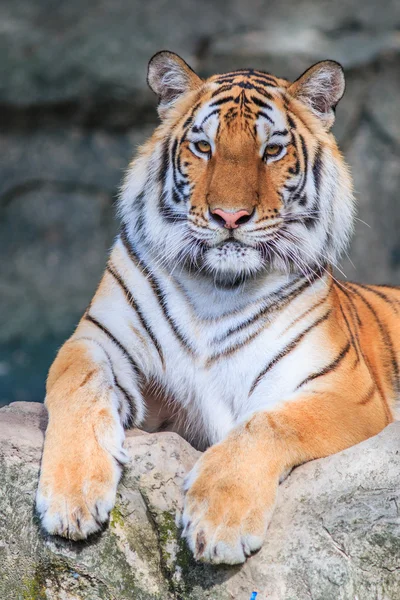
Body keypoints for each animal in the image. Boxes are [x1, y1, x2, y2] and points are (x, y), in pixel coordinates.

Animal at [35, 50, 400, 564]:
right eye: (204, 147)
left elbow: (270, 423)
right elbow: (76, 384)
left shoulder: (345, 391)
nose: (230, 216)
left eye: (272, 151)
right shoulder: (98, 339)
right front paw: (72, 495)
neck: (218, 287)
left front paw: (220, 520)